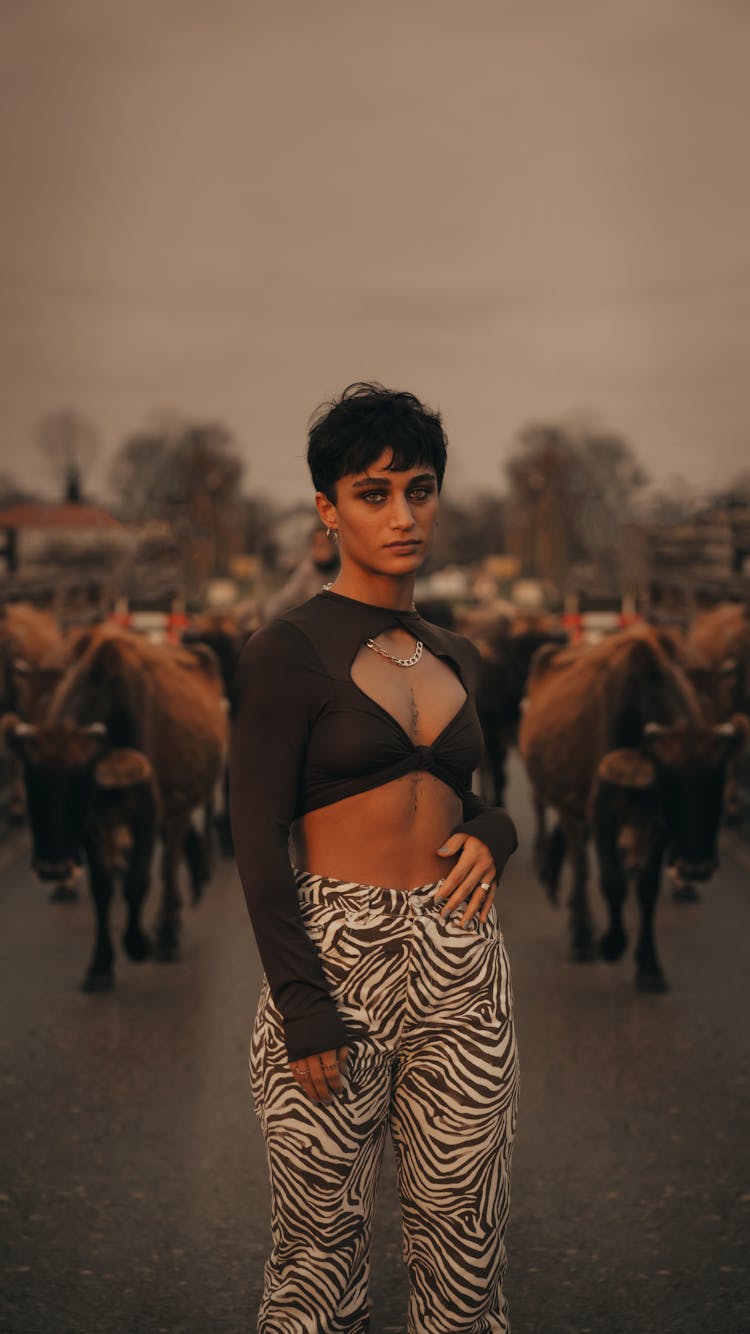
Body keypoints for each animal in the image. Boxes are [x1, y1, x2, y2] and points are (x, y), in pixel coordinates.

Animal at [517, 624, 741, 992]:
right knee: (580, 865)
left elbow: (647, 889)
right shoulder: (602, 814)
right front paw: (612, 942)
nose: (696, 867)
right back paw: (582, 934)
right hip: (568, 806)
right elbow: (611, 881)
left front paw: (649, 965)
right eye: (668, 784)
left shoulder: (657, 827)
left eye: (719, 783)